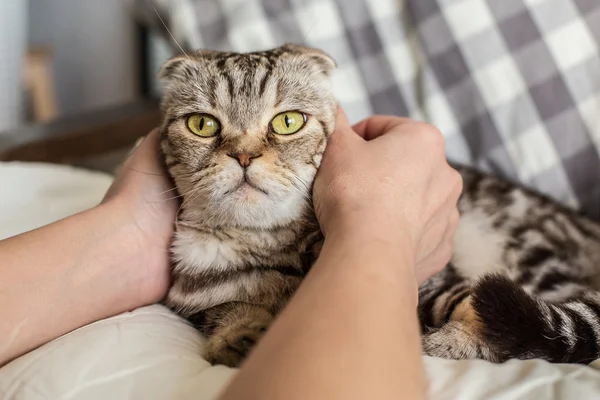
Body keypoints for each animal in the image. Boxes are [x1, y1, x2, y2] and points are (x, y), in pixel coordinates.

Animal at [159, 43, 600, 366]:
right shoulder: (199, 301)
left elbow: (476, 311)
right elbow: (230, 309)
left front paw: (447, 341)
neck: (271, 246)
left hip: (531, 255)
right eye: (202, 124)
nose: (244, 156)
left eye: (288, 122)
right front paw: (242, 336)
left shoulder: (439, 279)